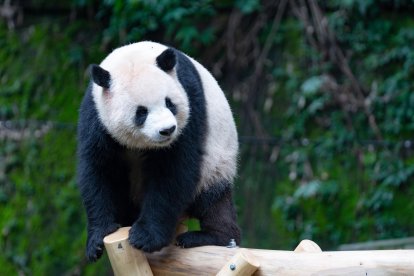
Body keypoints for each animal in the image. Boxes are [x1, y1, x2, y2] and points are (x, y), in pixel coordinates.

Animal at [77, 40, 239, 260]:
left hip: (216, 164)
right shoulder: (96, 115)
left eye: (169, 103)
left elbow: (173, 172)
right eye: (141, 112)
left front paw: (145, 237)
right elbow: (98, 169)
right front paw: (97, 239)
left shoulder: (190, 102)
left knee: (214, 202)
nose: (167, 130)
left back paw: (212, 237)